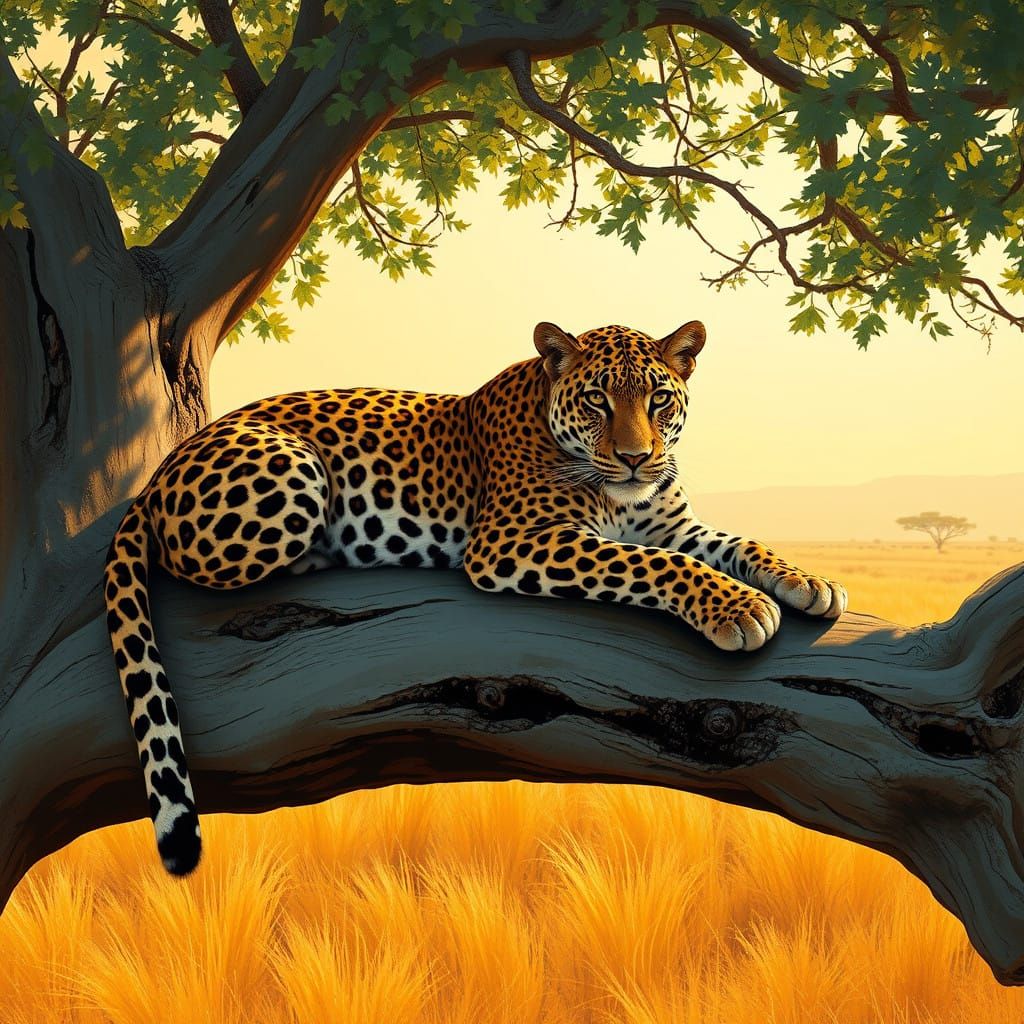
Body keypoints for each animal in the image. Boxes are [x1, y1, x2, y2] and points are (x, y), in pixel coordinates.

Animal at [104, 319, 847, 876]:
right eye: (598, 400)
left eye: (658, 399)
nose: (637, 457)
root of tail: (159, 471)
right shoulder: (516, 541)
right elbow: (652, 563)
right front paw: (741, 610)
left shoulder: (673, 523)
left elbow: (734, 542)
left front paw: (806, 582)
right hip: (294, 472)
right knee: (195, 565)